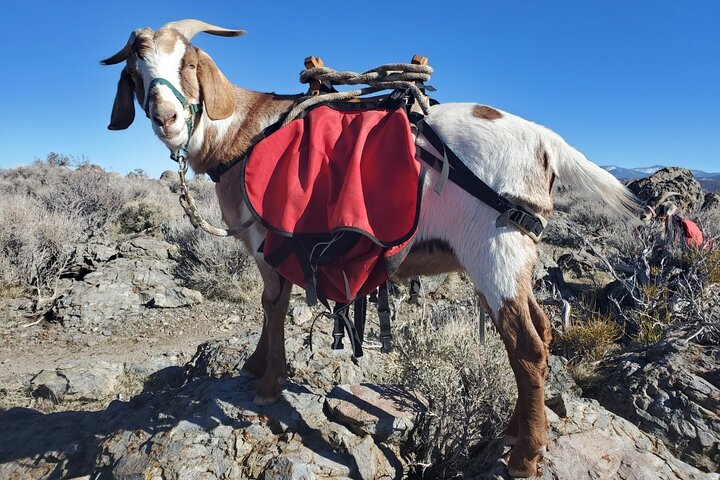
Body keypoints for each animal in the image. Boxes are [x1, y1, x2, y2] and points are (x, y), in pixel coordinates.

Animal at [102, 19, 639, 477]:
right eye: (136, 72)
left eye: (187, 64)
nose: (167, 118)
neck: (245, 132)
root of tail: (547, 142)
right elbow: (272, 307)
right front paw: (256, 367)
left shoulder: (267, 244)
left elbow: (272, 307)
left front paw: (269, 384)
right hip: (507, 259)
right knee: (540, 332)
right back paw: (512, 432)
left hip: (497, 253)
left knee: (526, 345)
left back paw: (525, 456)